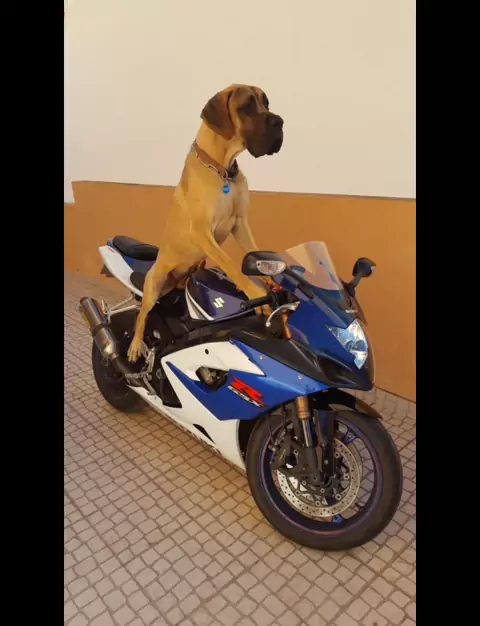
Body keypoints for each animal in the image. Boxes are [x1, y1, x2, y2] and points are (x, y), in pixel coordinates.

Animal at [127, 84, 284, 362]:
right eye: (246, 106)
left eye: (266, 103)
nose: (280, 122)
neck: (221, 169)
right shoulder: (202, 233)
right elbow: (232, 265)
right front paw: (257, 295)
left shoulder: (240, 224)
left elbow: (253, 252)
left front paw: (270, 279)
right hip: (154, 283)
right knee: (142, 315)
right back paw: (135, 345)